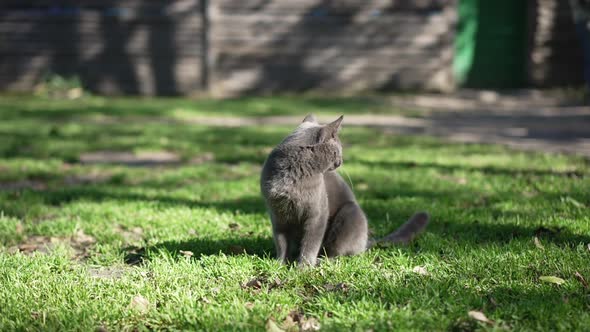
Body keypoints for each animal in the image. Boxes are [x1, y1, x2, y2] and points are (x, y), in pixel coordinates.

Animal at [260, 115, 430, 266]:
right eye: (338, 150)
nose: (341, 161)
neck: (293, 174)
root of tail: (366, 240)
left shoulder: (317, 213)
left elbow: (310, 243)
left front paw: (303, 267)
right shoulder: (277, 214)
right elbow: (281, 242)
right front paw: (279, 264)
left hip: (350, 212)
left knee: (338, 252)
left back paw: (323, 261)